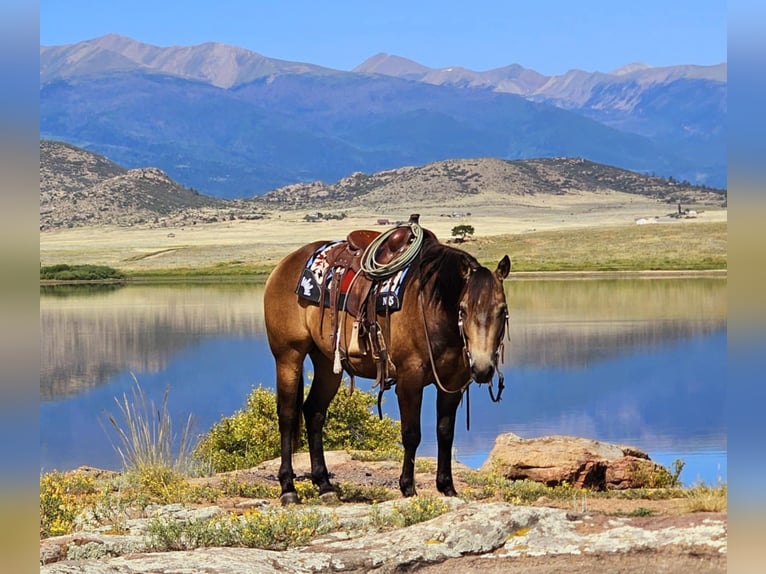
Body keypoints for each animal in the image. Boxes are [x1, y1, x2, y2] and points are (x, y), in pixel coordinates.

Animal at [264, 216, 510, 504]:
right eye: (462, 310)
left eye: (502, 311)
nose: (483, 369)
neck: (431, 304)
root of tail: (285, 264)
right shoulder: (410, 377)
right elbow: (412, 434)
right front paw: (408, 487)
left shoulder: (452, 383)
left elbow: (445, 432)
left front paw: (447, 487)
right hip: (288, 356)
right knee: (288, 415)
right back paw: (288, 488)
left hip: (327, 364)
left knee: (314, 412)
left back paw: (324, 484)